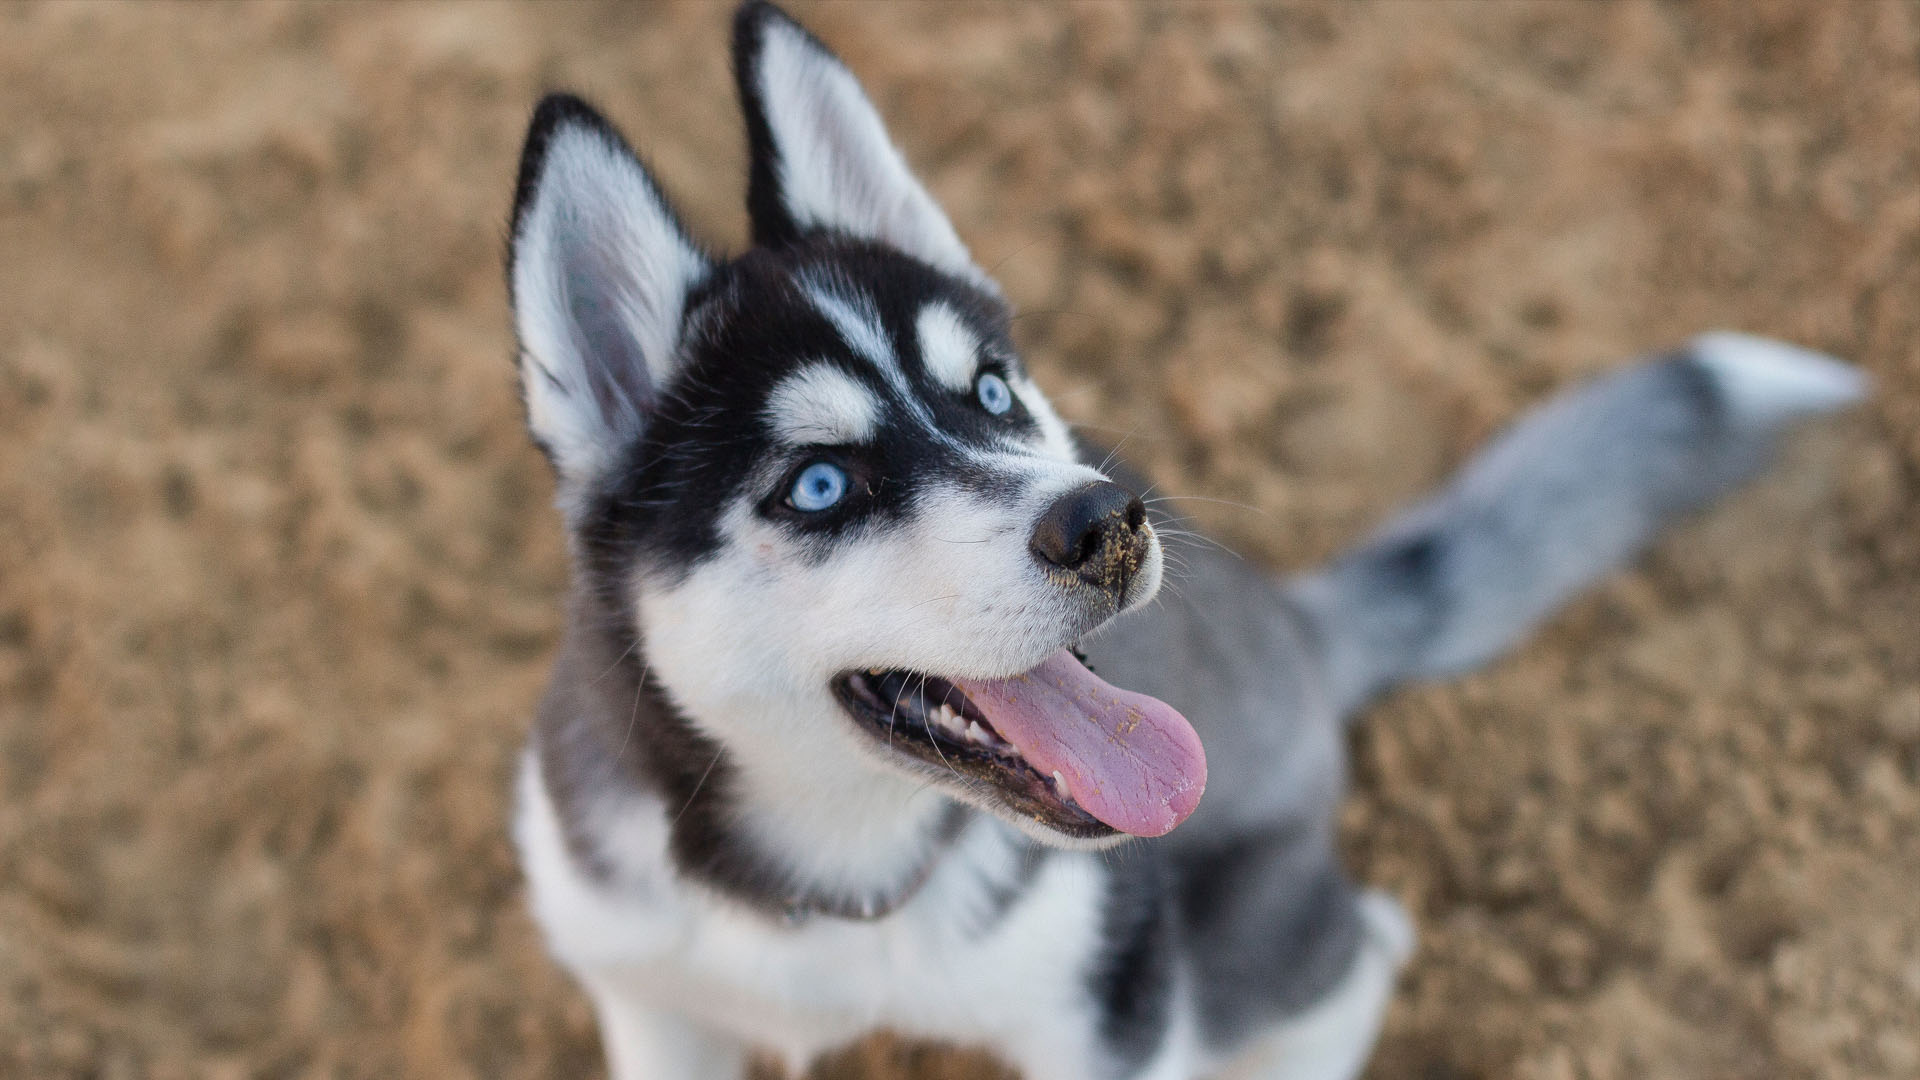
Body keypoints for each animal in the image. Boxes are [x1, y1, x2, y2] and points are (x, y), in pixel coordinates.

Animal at [503, 4, 1866, 1068]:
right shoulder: (648, 998)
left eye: (991, 390)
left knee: (1363, 948)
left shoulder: (1110, 1008)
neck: (826, 885)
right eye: (821, 485)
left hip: (1237, 945)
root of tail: (1295, 626)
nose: (1106, 520)